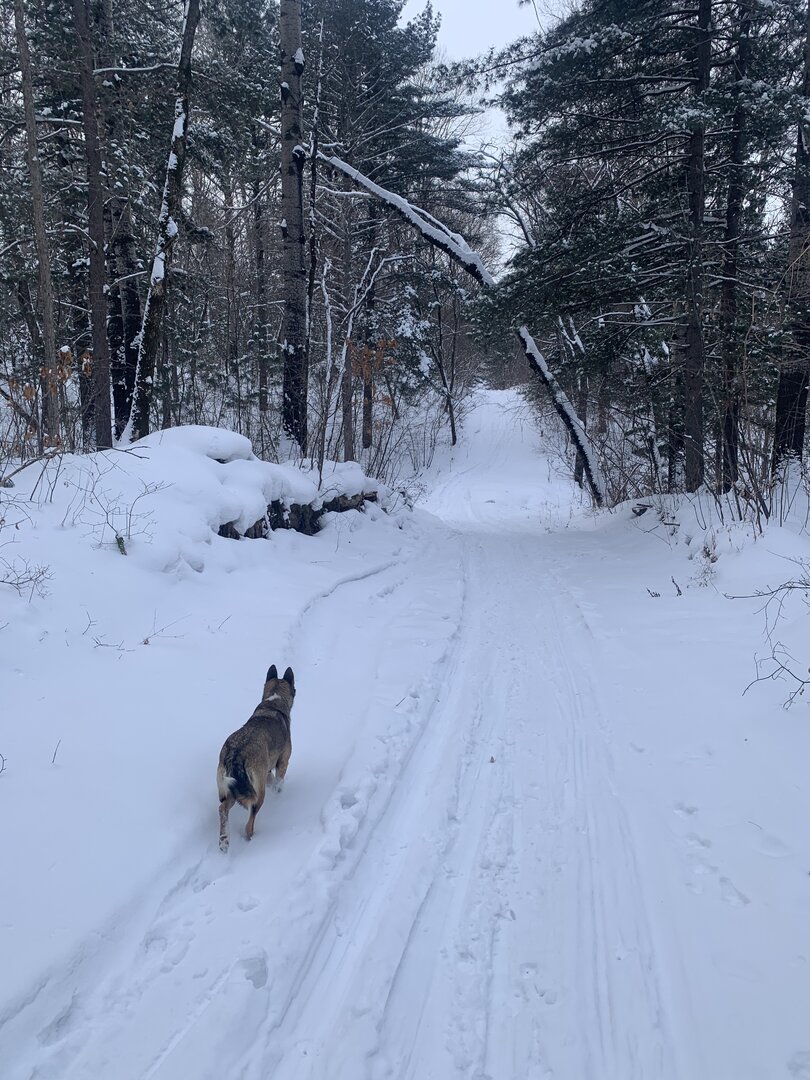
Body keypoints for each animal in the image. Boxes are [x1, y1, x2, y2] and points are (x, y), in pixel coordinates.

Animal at [217, 664, 295, 852]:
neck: (273, 701)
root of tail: (236, 754)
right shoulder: (283, 761)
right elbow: (279, 781)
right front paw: (279, 792)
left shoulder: (266, 770)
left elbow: (271, 778)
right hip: (257, 794)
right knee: (249, 821)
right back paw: (250, 839)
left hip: (231, 787)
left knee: (222, 808)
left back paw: (224, 841)